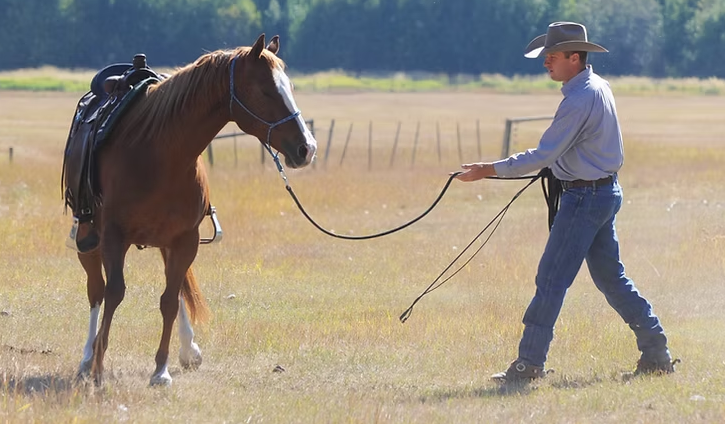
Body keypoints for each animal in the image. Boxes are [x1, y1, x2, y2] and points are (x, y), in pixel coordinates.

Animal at [61, 34, 317, 386]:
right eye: (265, 90)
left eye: (289, 86)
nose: (307, 148)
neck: (160, 152)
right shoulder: (114, 237)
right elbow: (113, 293)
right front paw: (98, 365)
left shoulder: (185, 239)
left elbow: (170, 299)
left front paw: (161, 369)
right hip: (89, 239)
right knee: (96, 292)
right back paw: (87, 358)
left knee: (176, 289)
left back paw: (187, 349)